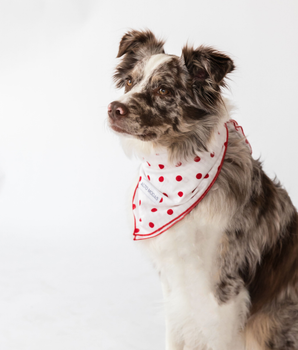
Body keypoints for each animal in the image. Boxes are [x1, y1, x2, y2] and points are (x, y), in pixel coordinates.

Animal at [108, 28, 298, 348]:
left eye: (164, 90)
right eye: (130, 82)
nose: (113, 109)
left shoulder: (225, 285)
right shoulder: (172, 280)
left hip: (268, 324)